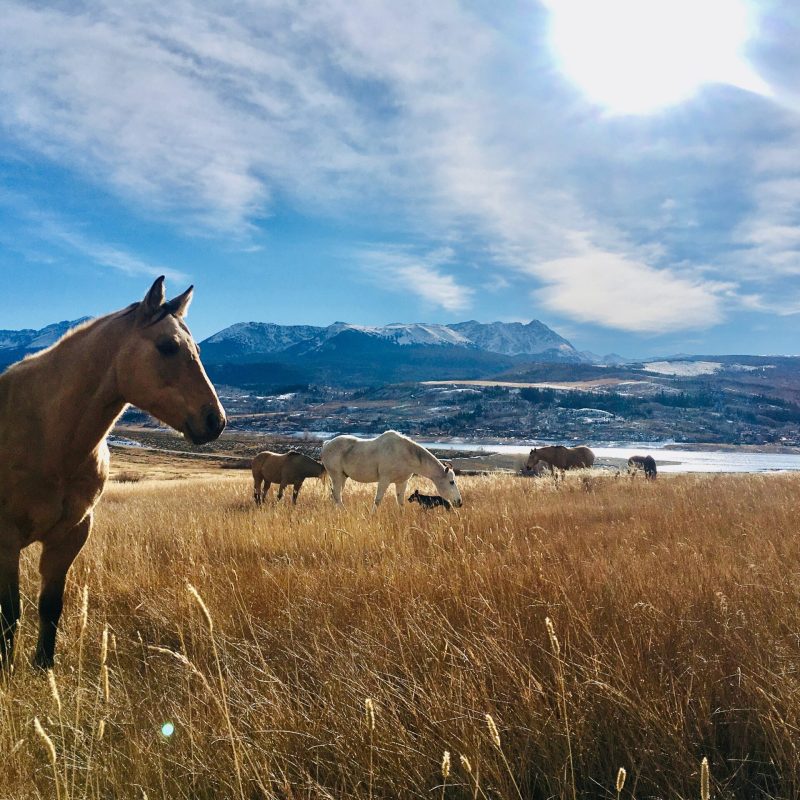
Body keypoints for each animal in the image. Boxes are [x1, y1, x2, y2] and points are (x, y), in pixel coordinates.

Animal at [0, 276, 225, 671]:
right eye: (167, 346)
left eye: (196, 348)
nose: (216, 421)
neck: (47, 436)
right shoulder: (7, 538)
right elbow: (10, 614)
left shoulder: (70, 535)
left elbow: (50, 607)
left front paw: (44, 666)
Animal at [321, 430, 463, 510]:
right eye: (451, 482)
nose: (459, 502)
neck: (404, 454)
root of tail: (327, 443)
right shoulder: (384, 480)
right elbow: (377, 500)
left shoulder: (402, 482)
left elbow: (400, 502)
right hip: (336, 476)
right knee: (337, 495)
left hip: (343, 477)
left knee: (335, 495)